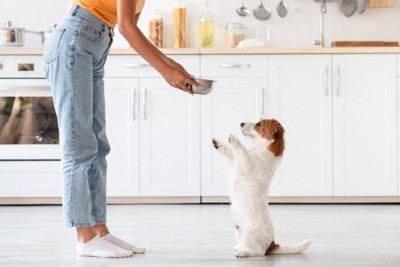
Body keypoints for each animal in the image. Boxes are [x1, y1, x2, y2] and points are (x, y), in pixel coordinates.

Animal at [212, 119, 312, 258]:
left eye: (259, 124)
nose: (241, 123)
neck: (261, 149)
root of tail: (272, 244)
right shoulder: (234, 165)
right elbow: (231, 153)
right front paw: (218, 143)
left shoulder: (246, 165)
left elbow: (242, 153)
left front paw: (235, 140)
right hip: (239, 233)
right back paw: (239, 247)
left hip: (249, 235)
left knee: (258, 252)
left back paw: (243, 252)